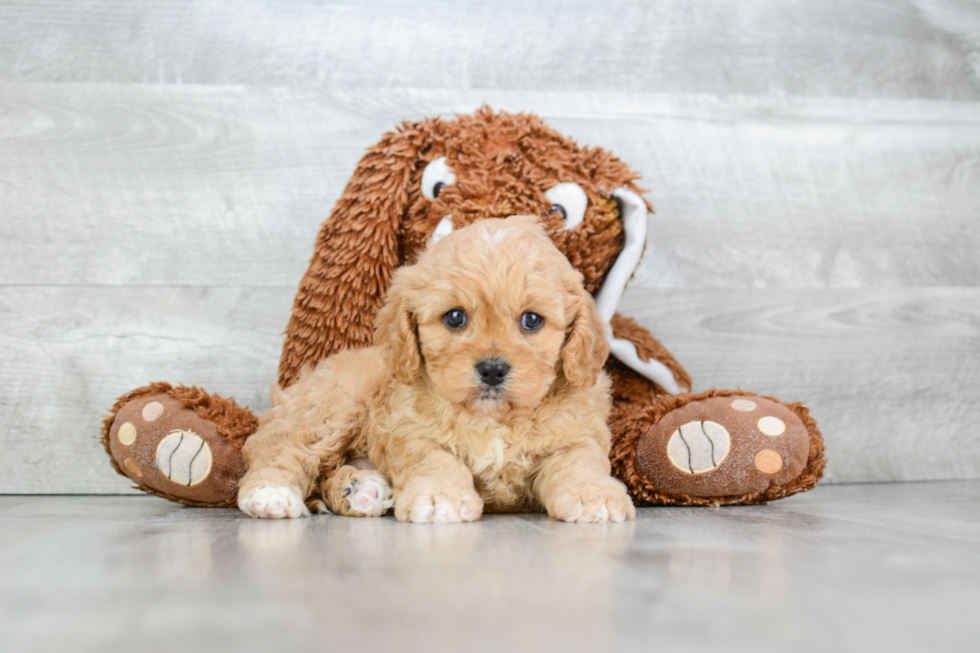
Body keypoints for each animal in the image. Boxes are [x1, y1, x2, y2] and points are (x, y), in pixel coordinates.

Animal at [236, 216, 636, 524]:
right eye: (455, 317)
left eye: (532, 320)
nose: (493, 369)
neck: (493, 419)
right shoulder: (411, 431)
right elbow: (437, 461)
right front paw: (441, 498)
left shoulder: (576, 435)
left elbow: (579, 463)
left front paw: (593, 495)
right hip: (329, 410)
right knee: (280, 448)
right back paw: (272, 494)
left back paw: (360, 490)